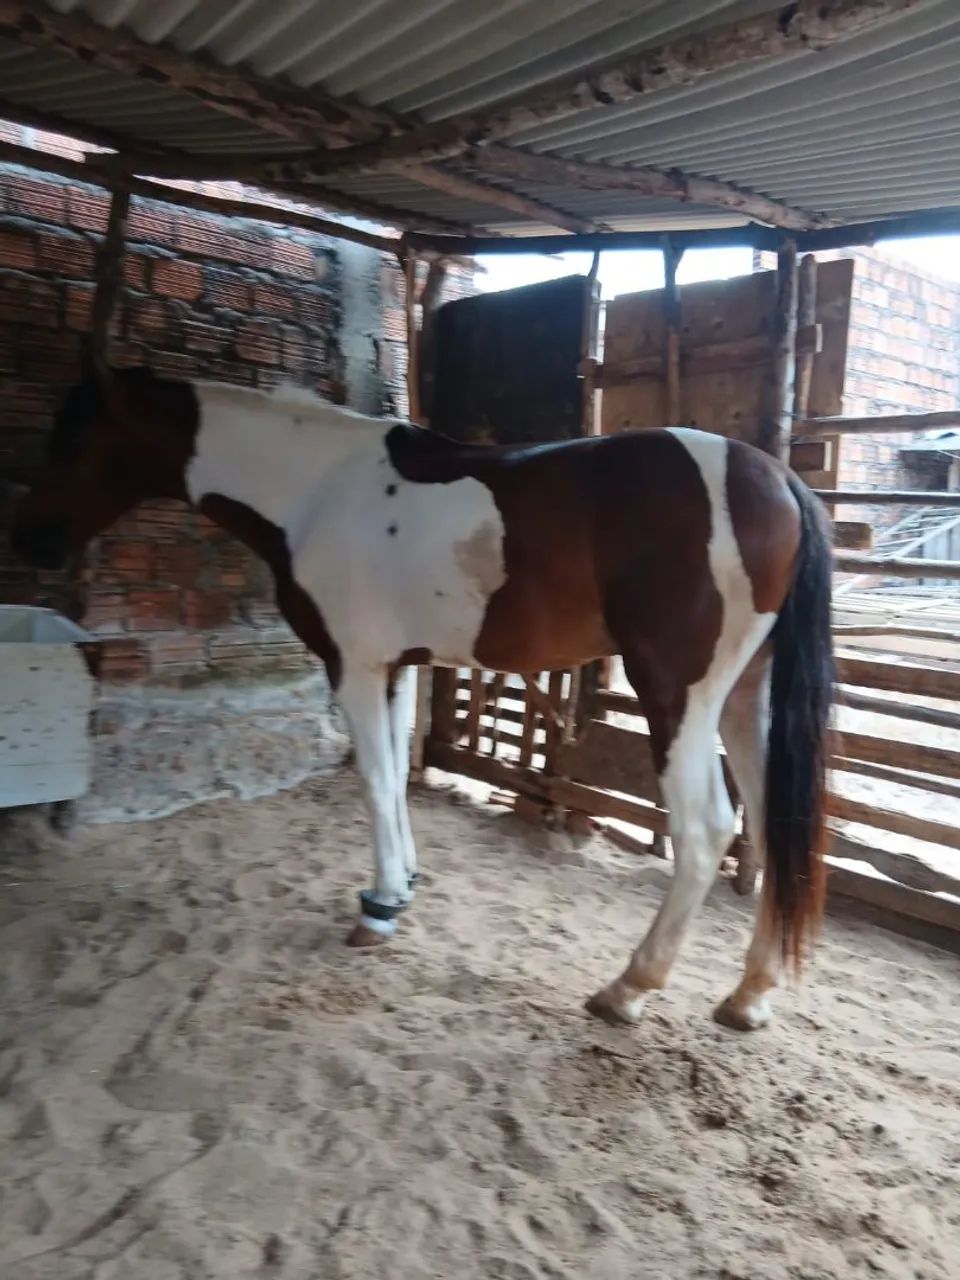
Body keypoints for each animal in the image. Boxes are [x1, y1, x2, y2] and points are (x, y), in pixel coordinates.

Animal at [10, 366, 834, 1032]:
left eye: (78, 439)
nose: (32, 541)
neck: (314, 489)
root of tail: (777, 482)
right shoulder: (398, 666)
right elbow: (398, 783)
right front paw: (401, 886)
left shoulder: (352, 664)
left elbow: (375, 781)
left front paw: (377, 911)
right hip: (744, 697)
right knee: (771, 822)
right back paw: (748, 995)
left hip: (676, 694)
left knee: (706, 830)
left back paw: (628, 988)